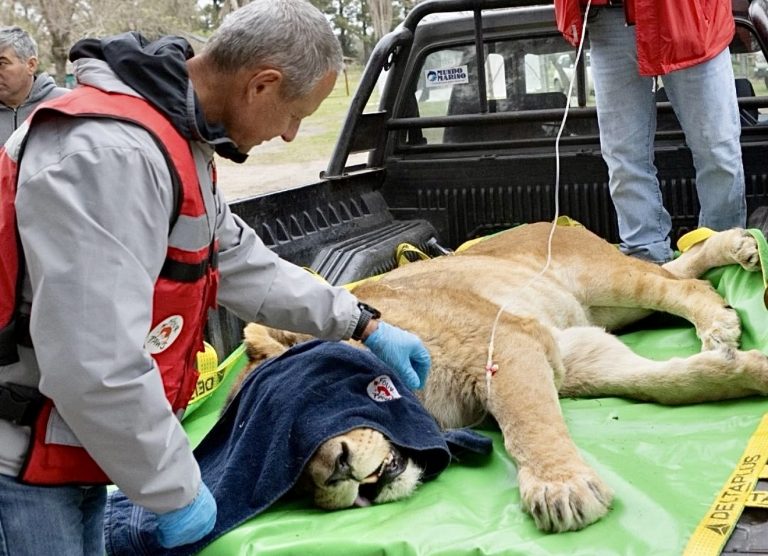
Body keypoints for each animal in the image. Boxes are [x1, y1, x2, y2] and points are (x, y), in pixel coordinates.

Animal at [233, 222, 768, 533]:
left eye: (316, 393)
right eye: (293, 480)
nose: (336, 473)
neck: (431, 409)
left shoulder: (505, 344)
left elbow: (527, 421)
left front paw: (560, 488)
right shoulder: (570, 353)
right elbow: (666, 383)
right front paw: (748, 369)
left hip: (605, 281)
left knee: (679, 285)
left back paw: (719, 316)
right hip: (605, 310)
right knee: (679, 270)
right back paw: (739, 248)